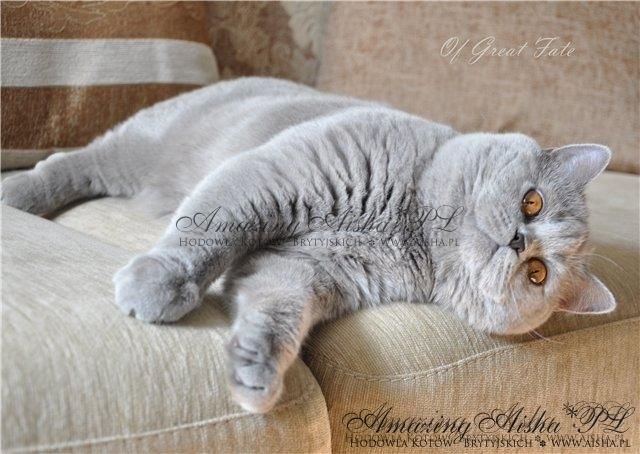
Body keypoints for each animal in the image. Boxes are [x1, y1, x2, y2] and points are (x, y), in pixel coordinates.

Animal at [1, 77, 615, 413]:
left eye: (538, 274)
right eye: (532, 203)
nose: (517, 241)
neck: (407, 223)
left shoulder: (303, 269)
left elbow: (278, 311)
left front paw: (255, 371)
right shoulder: (276, 174)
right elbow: (211, 228)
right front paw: (161, 284)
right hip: (140, 146)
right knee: (67, 163)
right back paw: (18, 194)